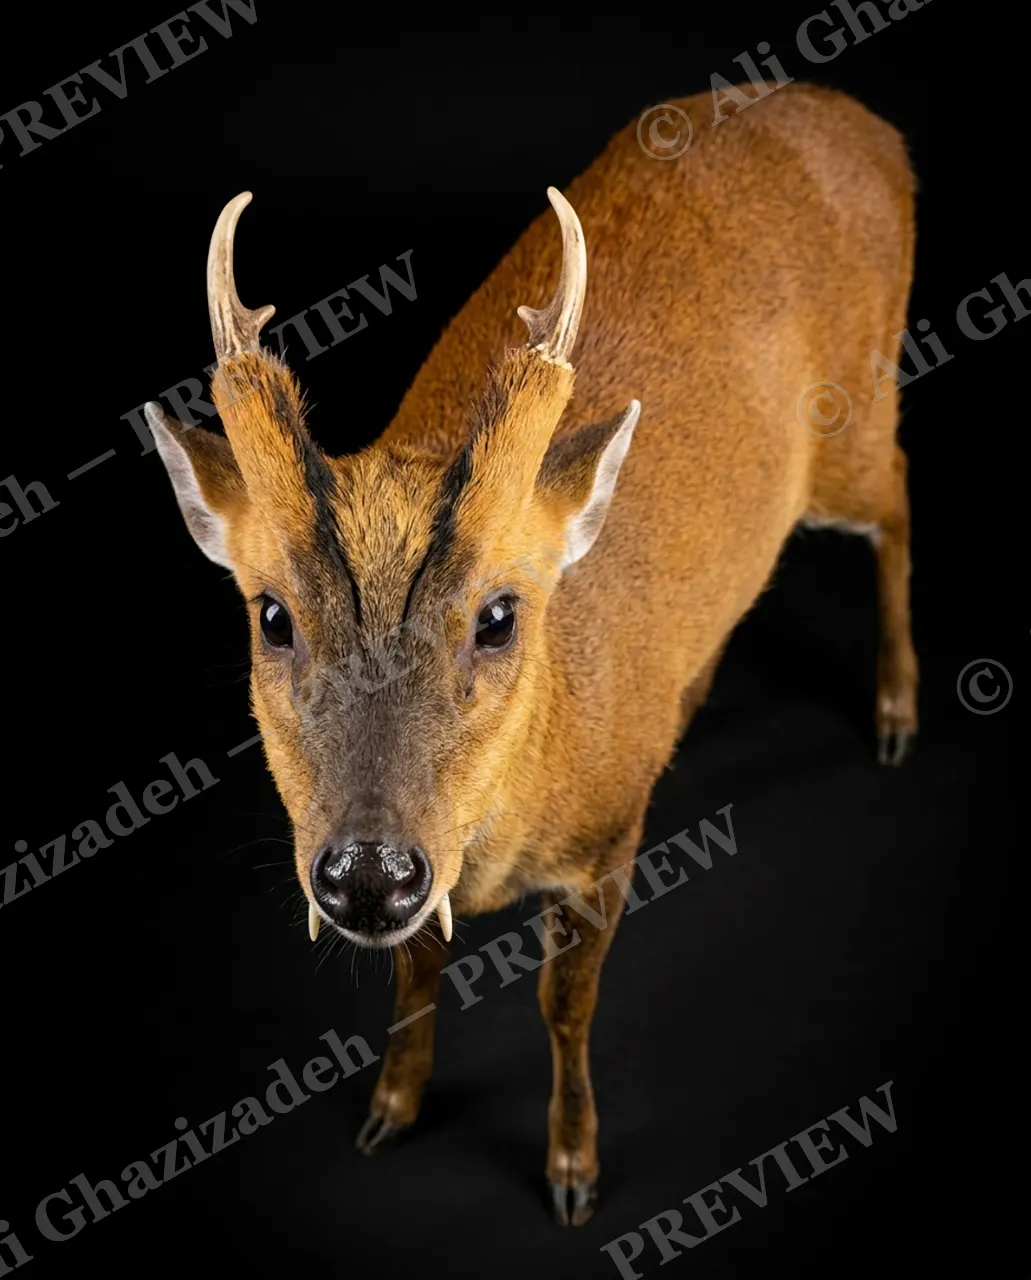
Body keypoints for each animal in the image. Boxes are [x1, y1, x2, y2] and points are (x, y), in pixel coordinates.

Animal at [146, 81, 918, 1227]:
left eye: (500, 614)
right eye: (271, 614)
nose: (365, 873)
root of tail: (870, 128)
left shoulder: (603, 848)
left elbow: (565, 1005)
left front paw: (572, 1168)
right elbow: (415, 971)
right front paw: (390, 1108)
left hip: (857, 417)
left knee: (900, 495)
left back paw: (896, 712)